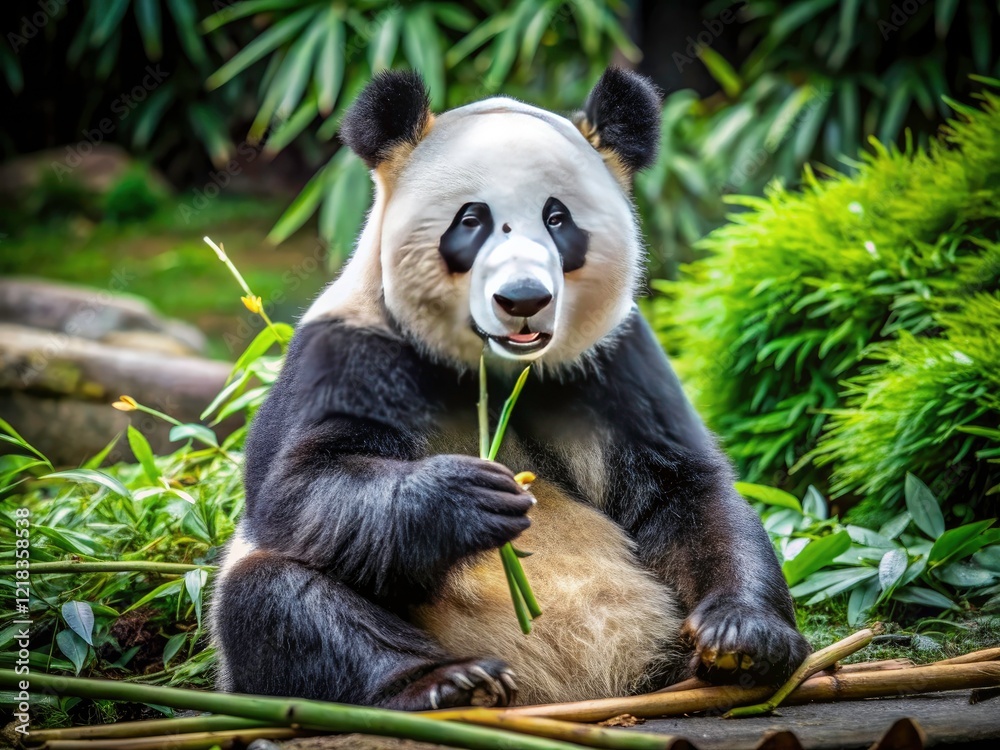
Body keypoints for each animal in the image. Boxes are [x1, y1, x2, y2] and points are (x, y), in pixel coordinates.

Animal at [210, 67, 810, 709]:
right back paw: (447, 682)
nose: (523, 299)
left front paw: (743, 637)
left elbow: (685, 492)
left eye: (557, 218)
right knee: (275, 597)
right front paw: (468, 498)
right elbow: (298, 488)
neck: (497, 368)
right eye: (471, 220)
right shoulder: (352, 345)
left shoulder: (612, 358)